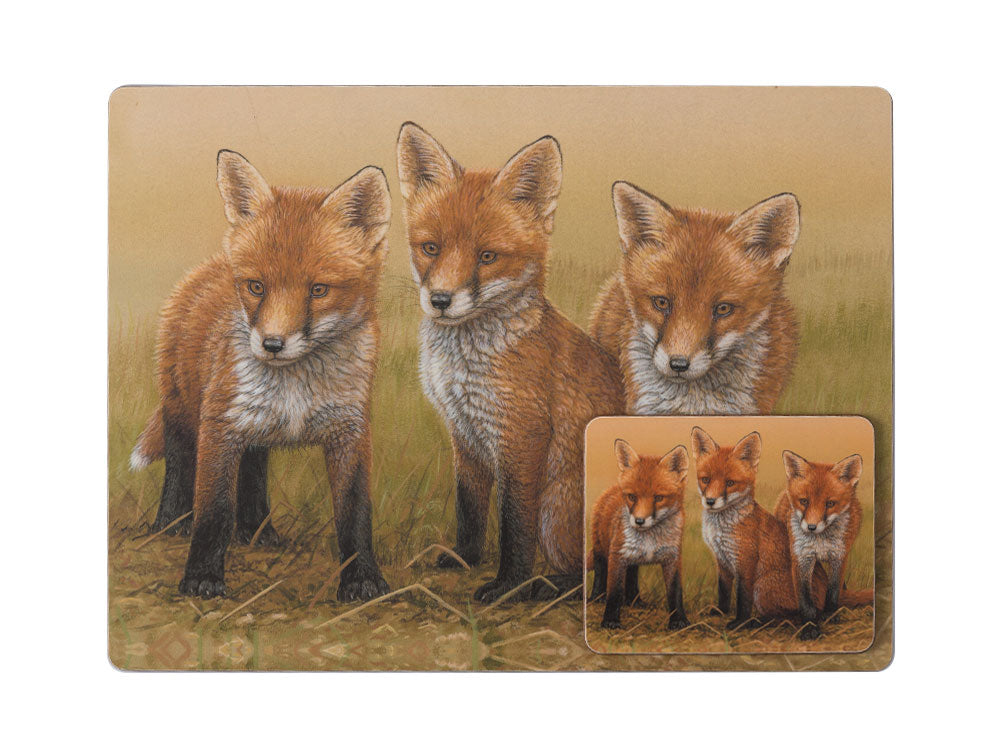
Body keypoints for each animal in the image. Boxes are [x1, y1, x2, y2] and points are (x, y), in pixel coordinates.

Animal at [129, 149, 391, 601]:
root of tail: (210, 266)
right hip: (183, 410)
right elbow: (214, 512)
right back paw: (171, 524)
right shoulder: (219, 425)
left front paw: (362, 580)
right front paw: (202, 578)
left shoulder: (350, 431)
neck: (295, 390)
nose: (272, 344)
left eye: (318, 290)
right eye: (256, 287)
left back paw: (256, 532)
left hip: (255, 434)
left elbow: (354, 513)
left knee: (253, 475)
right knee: (179, 466)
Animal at [396, 122, 626, 603]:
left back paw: (544, 586)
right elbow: (469, 509)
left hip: (557, 510)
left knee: (590, 575)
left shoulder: (522, 434)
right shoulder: (463, 432)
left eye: (487, 256)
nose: (440, 300)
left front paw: (507, 584)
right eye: (431, 248)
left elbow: (514, 526)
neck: (463, 365)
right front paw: (464, 558)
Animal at [588, 439, 689, 630]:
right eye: (632, 497)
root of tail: (612, 488)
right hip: (601, 549)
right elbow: (614, 592)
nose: (639, 521)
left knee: (632, 578)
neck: (650, 540)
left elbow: (675, 592)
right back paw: (597, 597)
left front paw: (679, 620)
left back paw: (634, 601)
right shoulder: (617, 555)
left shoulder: (672, 557)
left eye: (658, 498)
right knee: (599, 572)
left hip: (633, 560)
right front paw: (610, 620)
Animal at [774, 450, 874, 639]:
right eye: (804, 501)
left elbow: (833, 591)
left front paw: (831, 614)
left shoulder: (839, 557)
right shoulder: (801, 559)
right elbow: (805, 600)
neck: (820, 542)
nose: (811, 527)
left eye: (830, 504)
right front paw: (809, 627)